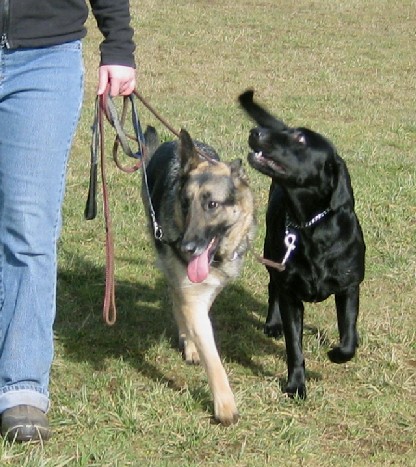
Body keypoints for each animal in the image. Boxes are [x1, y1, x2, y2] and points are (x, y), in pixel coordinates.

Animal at [141, 126, 255, 426]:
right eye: (184, 203)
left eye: (212, 205)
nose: (185, 247)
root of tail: (171, 143)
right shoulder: (190, 293)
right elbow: (212, 358)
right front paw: (225, 405)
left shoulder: (210, 288)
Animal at [239, 92, 366, 402]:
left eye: (300, 139)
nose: (256, 132)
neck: (310, 227)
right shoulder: (290, 294)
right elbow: (294, 347)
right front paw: (296, 384)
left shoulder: (349, 286)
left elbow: (348, 336)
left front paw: (337, 353)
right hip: (272, 251)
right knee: (272, 287)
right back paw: (272, 324)